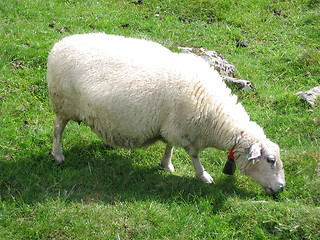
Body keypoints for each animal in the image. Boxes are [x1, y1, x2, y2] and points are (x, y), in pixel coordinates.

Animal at [47, 32, 284, 193]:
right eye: (270, 160)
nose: (281, 188)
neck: (216, 116)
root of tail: (59, 45)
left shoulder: (172, 126)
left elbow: (169, 145)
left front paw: (166, 164)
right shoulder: (184, 131)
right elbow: (193, 155)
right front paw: (203, 175)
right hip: (63, 104)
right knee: (58, 128)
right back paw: (58, 155)